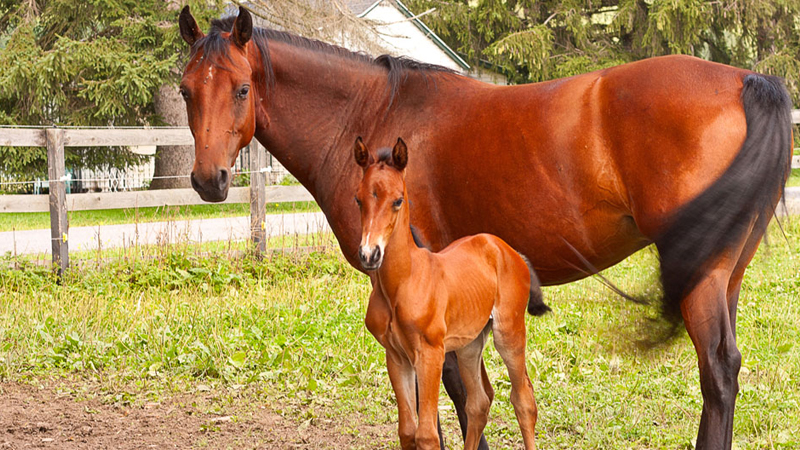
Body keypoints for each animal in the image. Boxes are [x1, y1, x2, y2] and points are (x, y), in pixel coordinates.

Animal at [356, 138, 552, 450]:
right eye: (358, 200)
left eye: (398, 200)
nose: (369, 254)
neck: (402, 283)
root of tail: (509, 251)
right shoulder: (396, 357)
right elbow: (407, 431)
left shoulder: (431, 354)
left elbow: (426, 434)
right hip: (469, 343)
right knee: (478, 403)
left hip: (508, 332)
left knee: (524, 400)